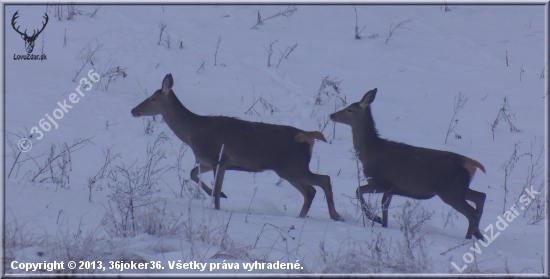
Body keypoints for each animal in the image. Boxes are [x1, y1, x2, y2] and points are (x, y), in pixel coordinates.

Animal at [130, 75, 344, 223]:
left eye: (153, 98)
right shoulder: (207, 160)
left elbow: (216, 189)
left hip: (292, 166)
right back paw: (302, 217)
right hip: (289, 169)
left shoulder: (218, 158)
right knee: (310, 190)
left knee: (323, 180)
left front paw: (218, 204)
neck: (193, 132)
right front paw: (221, 195)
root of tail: (308, 135)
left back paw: (336, 216)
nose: (134, 110)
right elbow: (193, 174)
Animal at [330, 88, 486, 240]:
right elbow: (385, 208)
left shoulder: (381, 182)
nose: (332, 115)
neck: (370, 152)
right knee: (480, 197)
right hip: (458, 188)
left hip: (450, 190)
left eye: (349, 110)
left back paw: (470, 238)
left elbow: (359, 191)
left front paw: (375, 218)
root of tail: (470, 163)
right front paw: (382, 223)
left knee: (472, 212)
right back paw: (477, 236)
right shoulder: (391, 188)